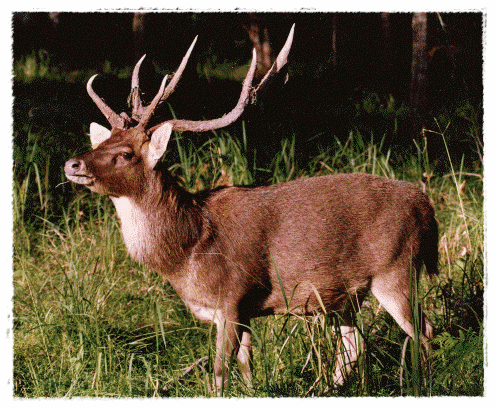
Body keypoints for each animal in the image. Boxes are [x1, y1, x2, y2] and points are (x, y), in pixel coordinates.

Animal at [65, 24, 438, 392]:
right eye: (102, 141)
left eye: (126, 153)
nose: (72, 164)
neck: (187, 251)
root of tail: (426, 207)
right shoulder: (244, 311)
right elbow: (247, 367)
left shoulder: (231, 297)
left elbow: (219, 373)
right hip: (344, 293)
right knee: (353, 343)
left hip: (397, 268)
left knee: (424, 331)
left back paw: (423, 383)